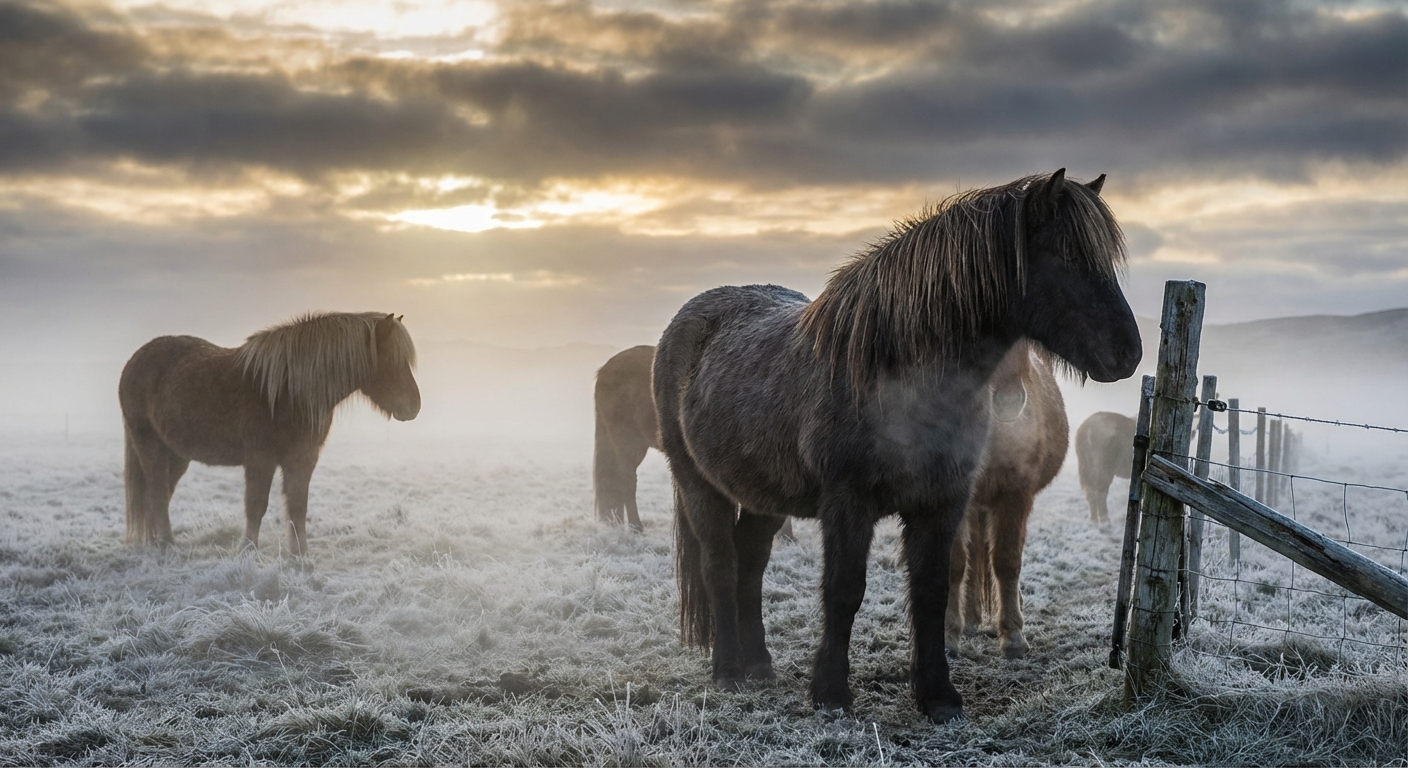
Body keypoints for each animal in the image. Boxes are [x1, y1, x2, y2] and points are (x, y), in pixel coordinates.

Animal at [118, 312, 420, 555]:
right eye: (392, 360)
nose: (414, 407)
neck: (289, 392)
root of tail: (134, 361)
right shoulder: (260, 459)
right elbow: (256, 505)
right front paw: (248, 550)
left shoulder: (303, 459)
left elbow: (298, 507)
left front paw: (300, 558)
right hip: (150, 447)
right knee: (157, 493)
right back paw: (167, 545)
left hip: (177, 455)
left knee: (161, 495)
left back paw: (157, 542)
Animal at [946, 340, 1068, 660]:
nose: (1010, 401)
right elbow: (955, 563)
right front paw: (949, 636)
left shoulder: (1016, 493)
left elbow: (1007, 561)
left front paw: (1013, 636)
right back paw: (970, 619)